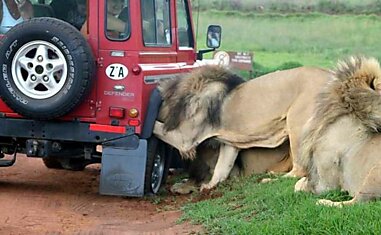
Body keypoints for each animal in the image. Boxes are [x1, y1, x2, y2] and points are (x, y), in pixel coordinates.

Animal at [154, 65, 330, 192]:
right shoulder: (230, 143)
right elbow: (222, 167)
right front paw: (210, 186)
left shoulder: (185, 138)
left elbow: (157, 127)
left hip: (296, 124)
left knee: (300, 170)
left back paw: (269, 178)